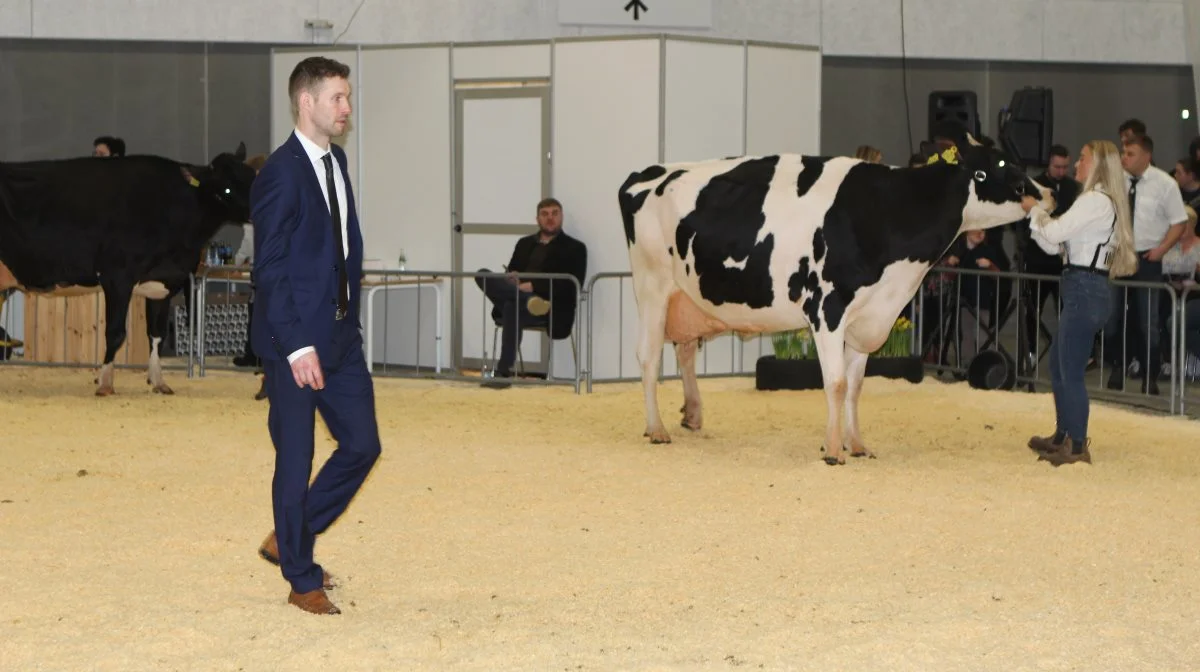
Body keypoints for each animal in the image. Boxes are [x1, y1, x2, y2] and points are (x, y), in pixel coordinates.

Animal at [1, 141, 255, 393]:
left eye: (252, 176)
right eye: (226, 189)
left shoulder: (162, 282)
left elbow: (157, 334)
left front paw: (158, 381)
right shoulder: (117, 278)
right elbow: (115, 333)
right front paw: (105, 383)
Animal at [619, 134, 1051, 465]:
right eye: (992, 166)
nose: (1047, 194)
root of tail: (648, 173)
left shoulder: (868, 316)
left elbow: (856, 385)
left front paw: (856, 444)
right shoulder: (827, 308)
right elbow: (837, 382)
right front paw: (832, 449)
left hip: (687, 297)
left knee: (685, 351)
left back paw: (692, 415)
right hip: (651, 286)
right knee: (649, 356)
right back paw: (656, 429)